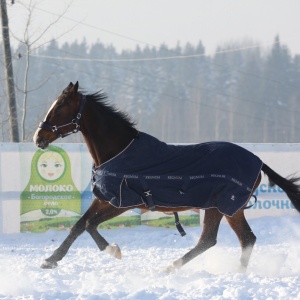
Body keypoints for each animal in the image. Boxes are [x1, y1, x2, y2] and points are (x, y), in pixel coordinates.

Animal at [32, 81, 300, 272]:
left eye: (59, 107)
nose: (38, 137)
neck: (119, 152)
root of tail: (258, 161)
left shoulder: (122, 201)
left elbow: (89, 225)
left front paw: (113, 250)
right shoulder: (105, 198)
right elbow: (79, 225)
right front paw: (50, 260)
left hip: (221, 206)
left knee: (212, 240)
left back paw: (172, 268)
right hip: (230, 208)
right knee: (243, 239)